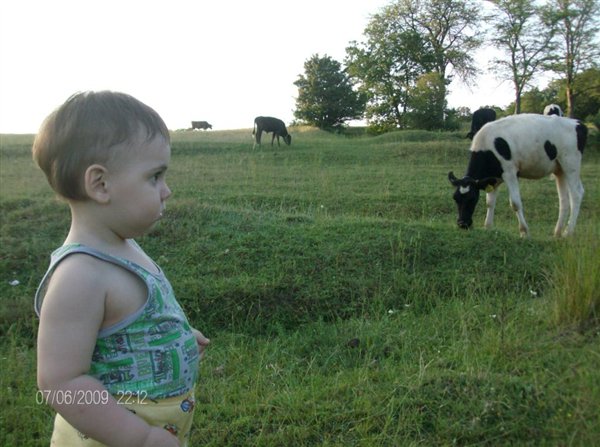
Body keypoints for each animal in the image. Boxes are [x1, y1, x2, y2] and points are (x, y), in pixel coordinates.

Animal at [450, 114, 584, 238]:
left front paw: (524, 232)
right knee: (564, 199)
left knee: (576, 194)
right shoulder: (493, 179)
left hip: (571, 164)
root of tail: (577, 123)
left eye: (472, 198)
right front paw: (487, 227)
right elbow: (490, 202)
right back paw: (557, 232)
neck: (488, 147)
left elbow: (515, 203)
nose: (462, 223)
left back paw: (568, 232)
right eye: (455, 198)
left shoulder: (510, 173)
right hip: (560, 170)